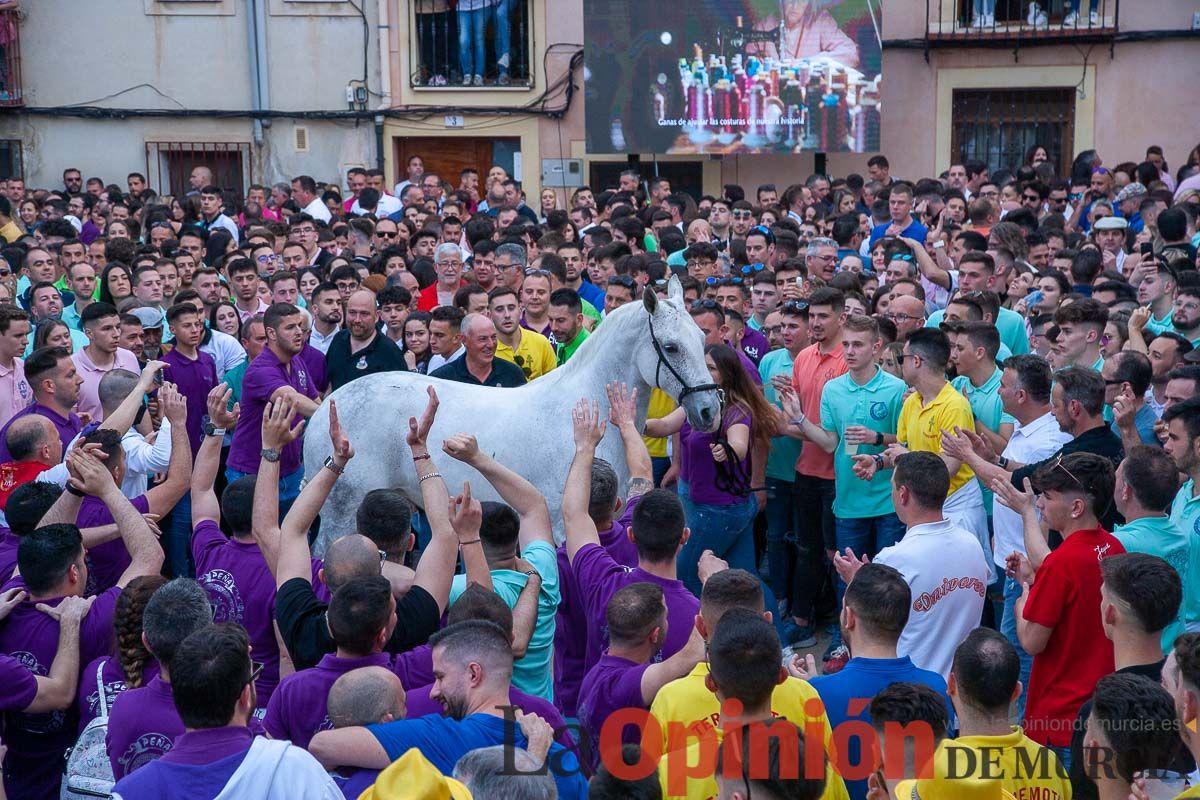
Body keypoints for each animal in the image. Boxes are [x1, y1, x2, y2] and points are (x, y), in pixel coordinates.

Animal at [304, 278, 724, 554]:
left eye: (704, 340)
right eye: (671, 346)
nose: (709, 411)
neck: (587, 414)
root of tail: (326, 409)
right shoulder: (562, 523)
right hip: (342, 511)